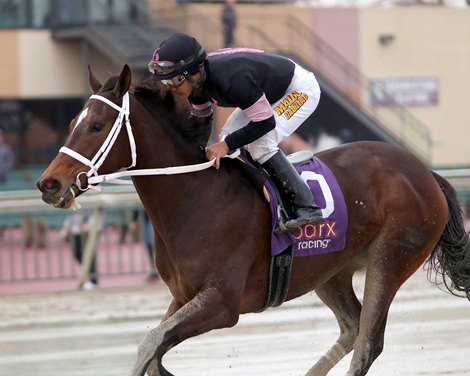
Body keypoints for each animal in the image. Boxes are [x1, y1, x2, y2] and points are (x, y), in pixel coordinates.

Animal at [37, 65, 470, 376]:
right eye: (73, 122)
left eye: (96, 125)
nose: (48, 184)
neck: (193, 197)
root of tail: (425, 172)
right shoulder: (183, 296)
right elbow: (155, 350)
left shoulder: (222, 303)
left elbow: (149, 345)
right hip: (331, 269)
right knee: (352, 328)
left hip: (391, 258)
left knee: (367, 342)